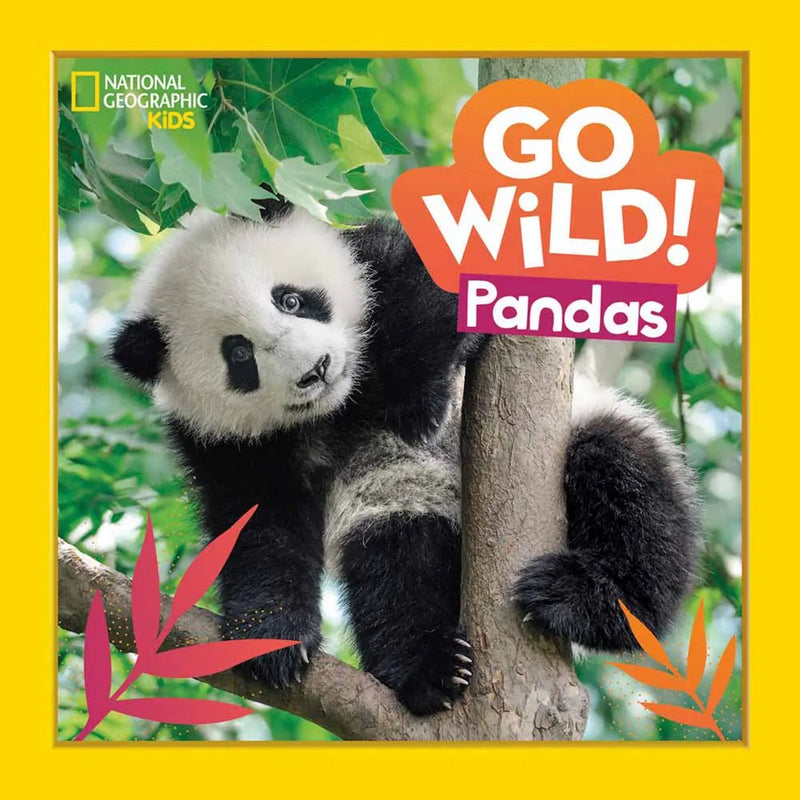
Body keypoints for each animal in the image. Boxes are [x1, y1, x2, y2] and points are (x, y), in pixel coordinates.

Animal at [110, 198, 701, 716]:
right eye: (239, 354)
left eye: (291, 300)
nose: (316, 369)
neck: (343, 403)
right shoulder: (227, 442)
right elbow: (258, 525)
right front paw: (272, 639)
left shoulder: (376, 258)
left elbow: (429, 291)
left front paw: (416, 401)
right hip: (403, 503)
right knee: (397, 566)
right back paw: (430, 671)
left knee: (626, 482)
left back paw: (584, 600)